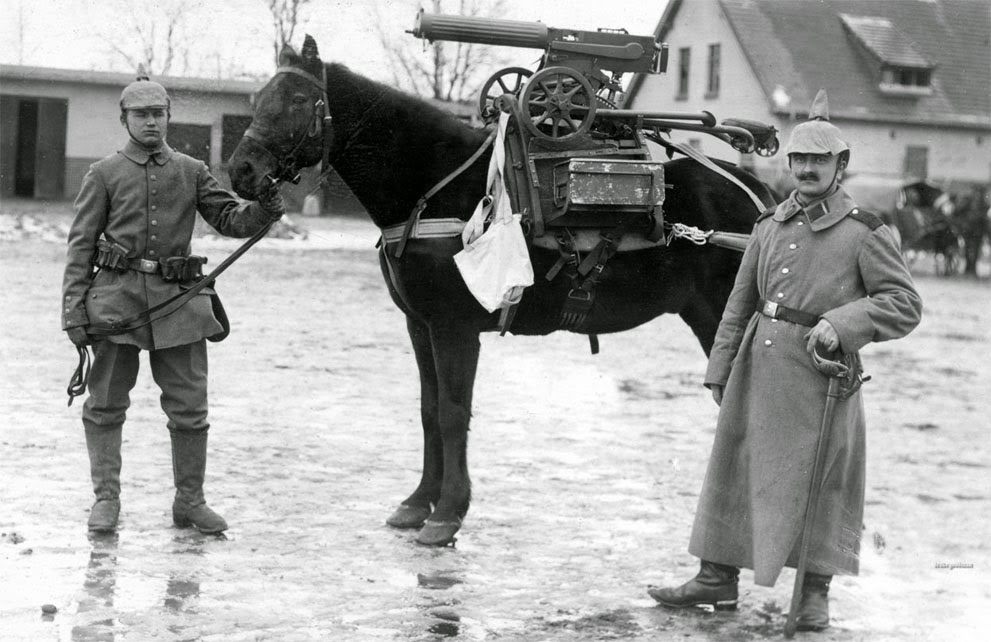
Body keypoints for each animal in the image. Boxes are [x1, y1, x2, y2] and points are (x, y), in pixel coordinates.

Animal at [229, 36, 780, 544]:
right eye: (260, 97)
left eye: (299, 100)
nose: (242, 171)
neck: (432, 187)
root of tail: (764, 199)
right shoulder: (419, 325)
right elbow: (429, 411)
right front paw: (418, 503)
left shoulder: (454, 327)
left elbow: (453, 414)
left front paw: (448, 513)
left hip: (719, 322)